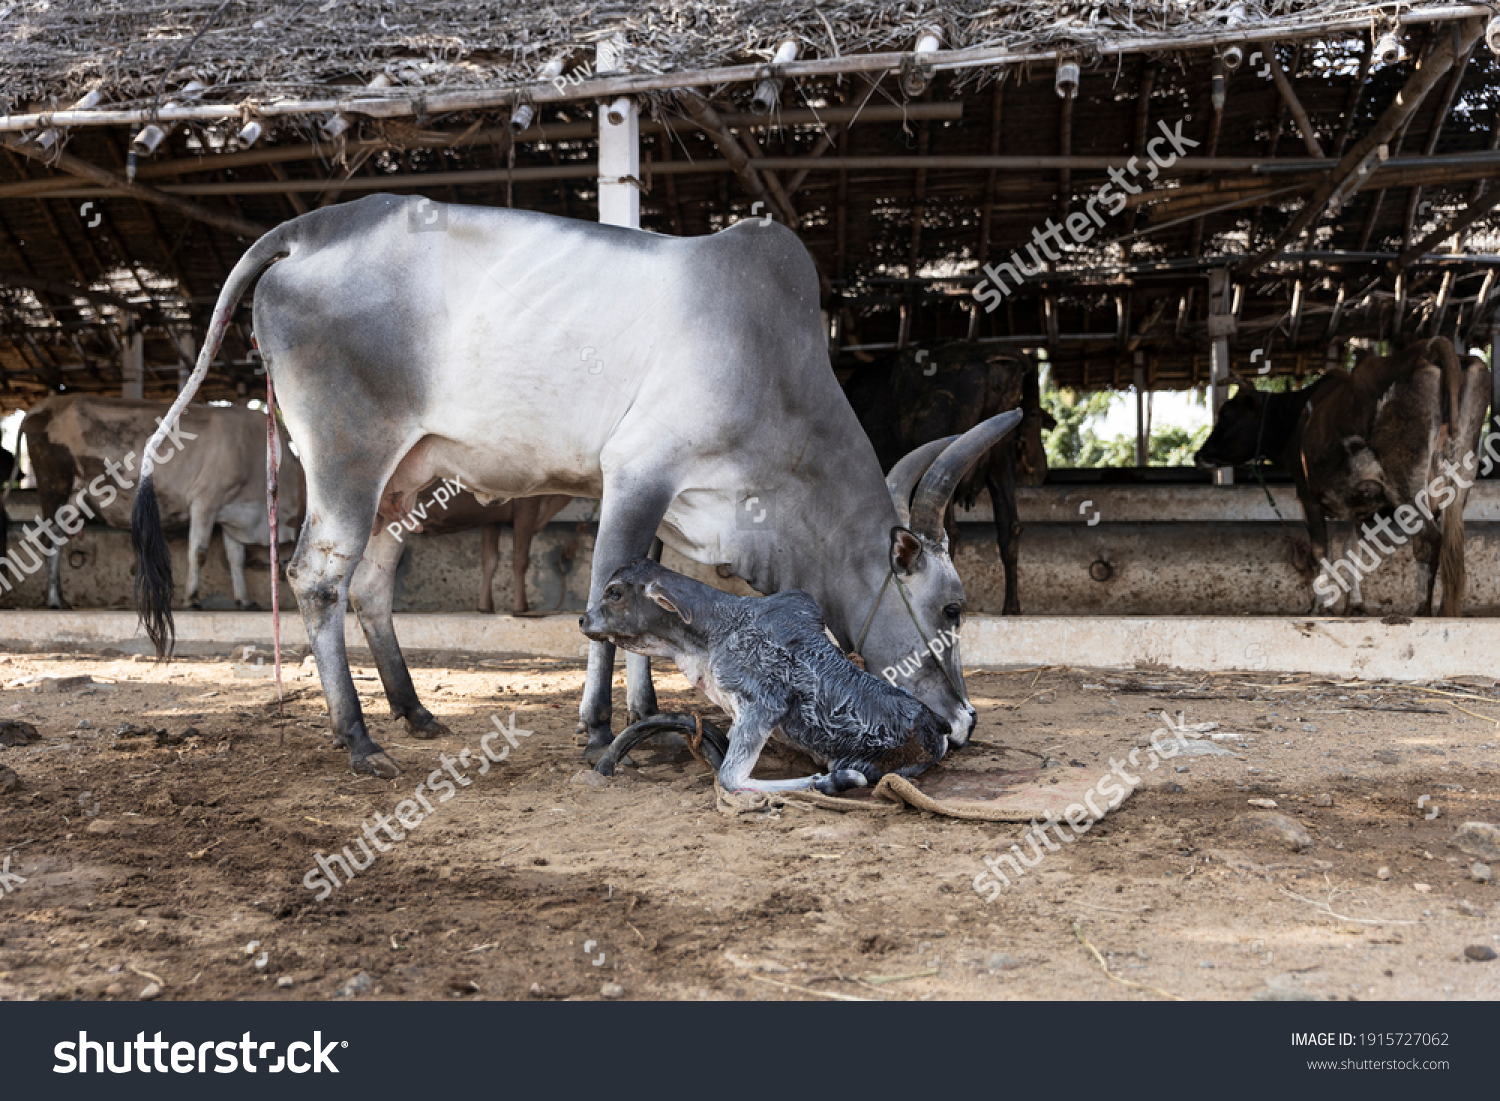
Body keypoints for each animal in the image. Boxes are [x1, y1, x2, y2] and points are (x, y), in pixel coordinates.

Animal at [576, 561, 948, 792]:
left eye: (614, 593)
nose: (582, 619)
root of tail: (933, 729)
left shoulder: (764, 702)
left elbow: (730, 778)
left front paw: (828, 781)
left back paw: (836, 779)